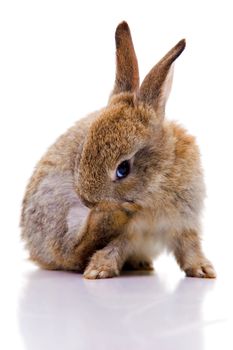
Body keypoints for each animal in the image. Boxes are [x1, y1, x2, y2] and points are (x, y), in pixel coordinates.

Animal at [20, 21, 216, 278]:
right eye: (83, 150)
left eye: (123, 169)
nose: (88, 201)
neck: (156, 182)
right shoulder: (128, 234)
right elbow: (113, 248)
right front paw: (98, 271)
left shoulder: (184, 223)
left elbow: (189, 248)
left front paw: (203, 270)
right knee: (74, 251)